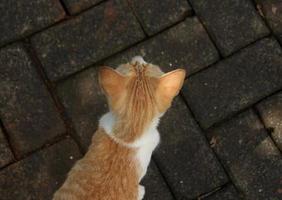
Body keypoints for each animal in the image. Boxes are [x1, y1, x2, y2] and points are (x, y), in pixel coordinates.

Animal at [53, 56, 186, 200]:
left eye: (145, 64)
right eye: (133, 64)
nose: (138, 57)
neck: (129, 132)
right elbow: (139, 190)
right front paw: (140, 190)